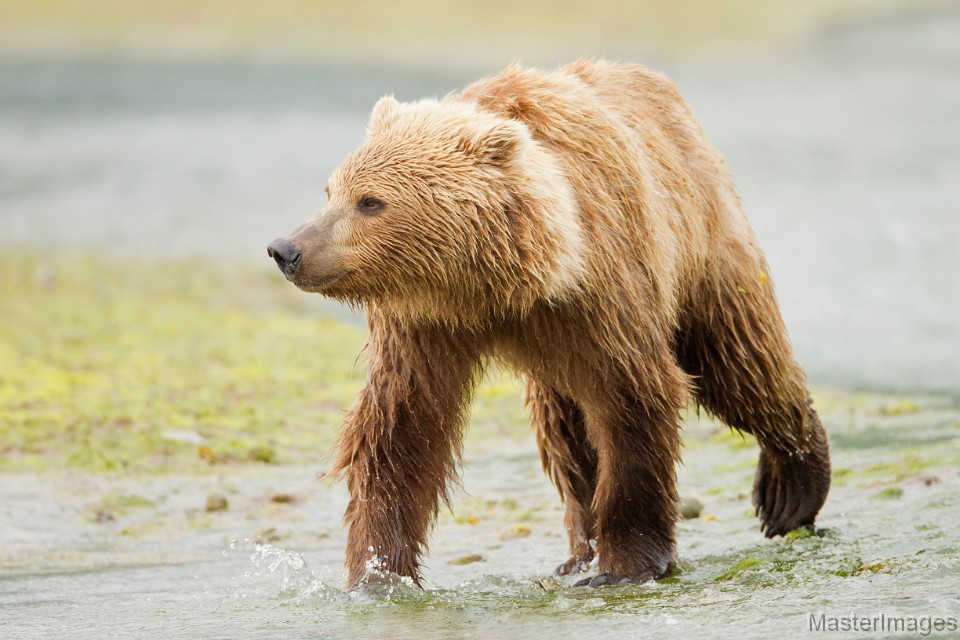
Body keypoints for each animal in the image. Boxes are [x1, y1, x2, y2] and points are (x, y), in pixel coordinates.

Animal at [266, 60, 828, 592]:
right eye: (331, 189)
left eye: (370, 201)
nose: (285, 249)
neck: (497, 289)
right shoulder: (422, 324)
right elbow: (400, 426)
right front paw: (379, 572)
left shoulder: (604, 292)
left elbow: (633, 403)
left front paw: (626, 565)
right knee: (564, 433)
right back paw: (579, 549)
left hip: (702, 242)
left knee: (740, 361)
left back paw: (791, 489)